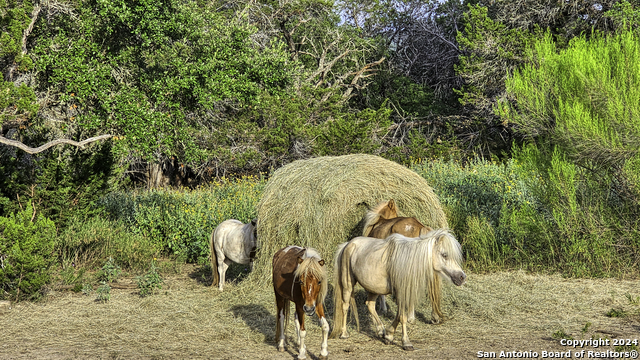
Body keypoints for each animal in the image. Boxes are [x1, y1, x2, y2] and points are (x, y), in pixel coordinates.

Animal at [330, 229, 464, 350]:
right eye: (444, 255)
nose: (462, 277)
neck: (409, 262)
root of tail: (347, 244)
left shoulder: (402, 294)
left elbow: (399, 316)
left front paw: (389, 335)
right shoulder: (401, 292)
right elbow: (402, 317)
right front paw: (406, 342)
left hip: (374, 288)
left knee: (370, 305)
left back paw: (381, 330)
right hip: (348, 284)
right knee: (345, 306)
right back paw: (344, 333)